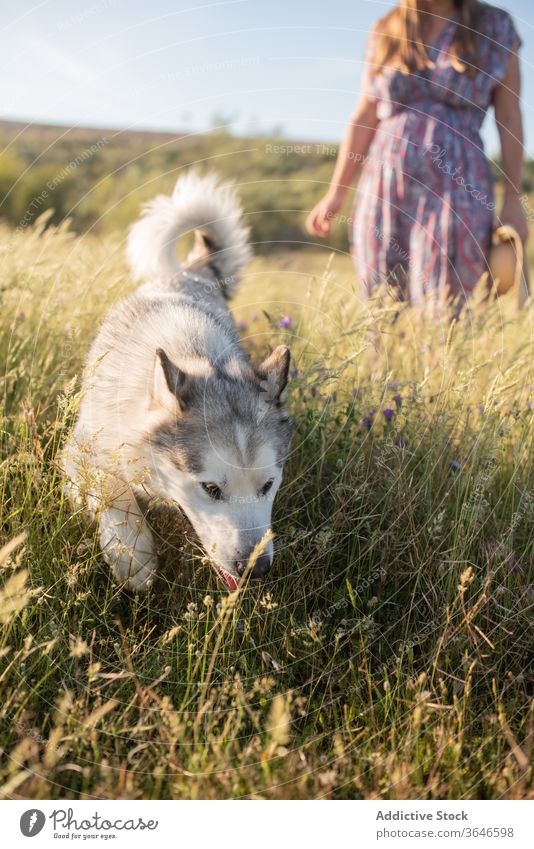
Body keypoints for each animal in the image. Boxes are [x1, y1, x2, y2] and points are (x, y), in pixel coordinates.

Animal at [65, 172, 296, 588]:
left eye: (268, 485)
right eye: (211, 489)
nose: (255, 570)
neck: (192, 352)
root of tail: (189, 271)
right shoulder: (78, 455)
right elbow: (113, 489)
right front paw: (134, 555)